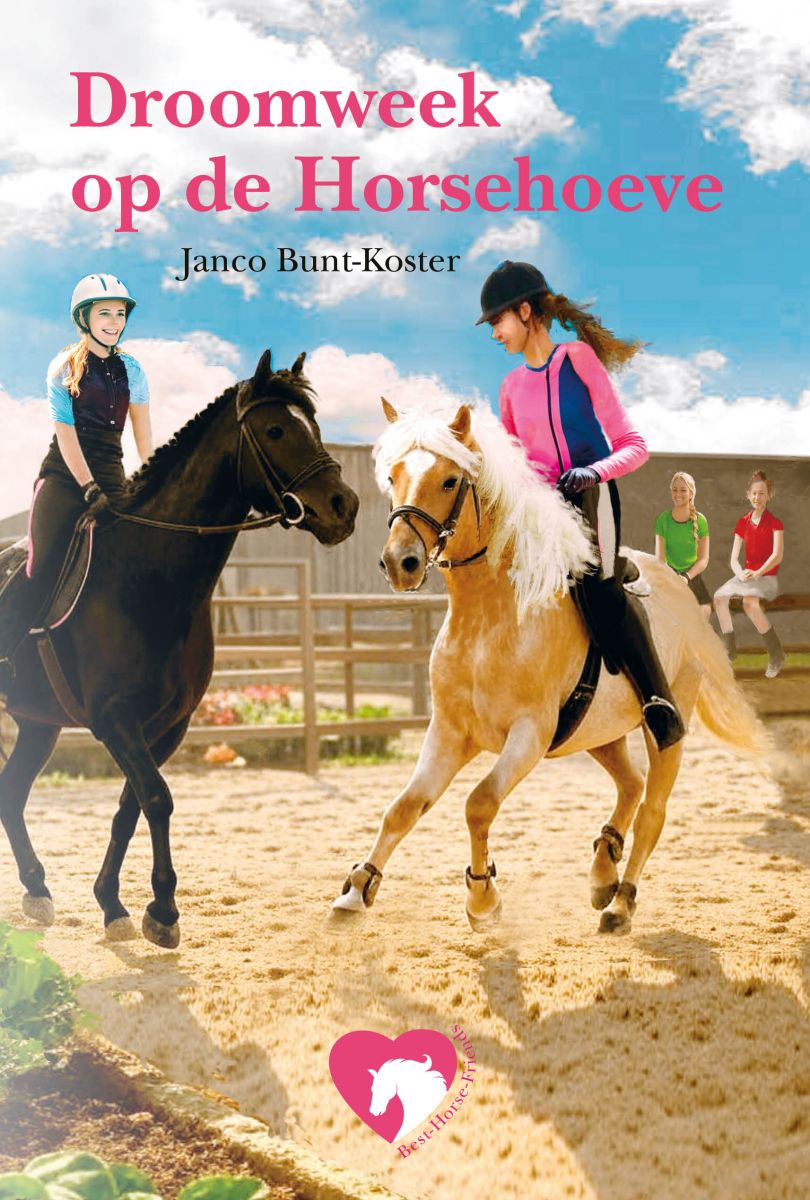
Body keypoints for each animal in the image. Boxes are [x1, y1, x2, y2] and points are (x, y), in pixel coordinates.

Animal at [0, 350, 358, 948]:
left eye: (313, 425)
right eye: (275, 429)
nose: (343, 507)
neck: (148, 575)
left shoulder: (168, 725)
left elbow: (132, 804)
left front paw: (114, 904)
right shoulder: (115, 718)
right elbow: (158, 798)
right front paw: (163, 911)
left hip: (38, 724)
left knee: (12, 790)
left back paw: (36, 889)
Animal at [333, 400, 766, 934]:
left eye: (451, 481)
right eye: (393, 476)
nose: (401, 563)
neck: (489, 617)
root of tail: (681, 587)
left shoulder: (529, 734)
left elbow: (479, 804)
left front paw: (483, 899)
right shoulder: (450, 733)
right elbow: (403, 808)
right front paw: (356, 890)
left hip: (665, 724)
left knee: (652, 810)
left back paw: (621, 902)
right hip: (599, 733)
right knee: (630, 784)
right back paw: (603, 872)